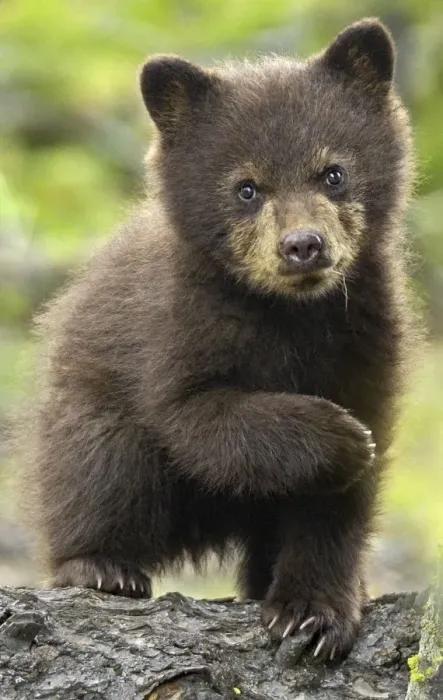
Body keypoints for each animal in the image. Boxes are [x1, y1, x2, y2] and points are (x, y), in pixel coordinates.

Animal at [24, 18, 416, 661]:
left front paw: (313, 615)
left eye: (333, 172)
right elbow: (196, 416)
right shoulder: (176, 327)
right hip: (88, 413)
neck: (289, 314)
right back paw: (101, 567)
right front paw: (340, 437)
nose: (303, 245)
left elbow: (340, 502)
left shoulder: (366, 338)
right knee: (101, 462)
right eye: (246, 187)